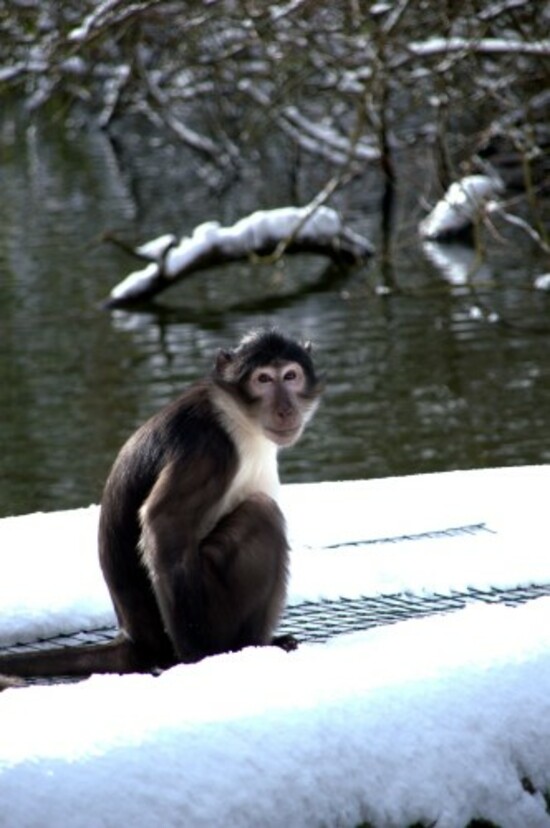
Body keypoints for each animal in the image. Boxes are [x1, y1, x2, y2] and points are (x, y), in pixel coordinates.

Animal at [0, 330, 324, 684]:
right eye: (263, 379)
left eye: (290, 376)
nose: (285, 409)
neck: (238, 419)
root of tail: (137, 640)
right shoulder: (208, 449)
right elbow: (164, 524)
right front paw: (198, 656)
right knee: (261, 513)